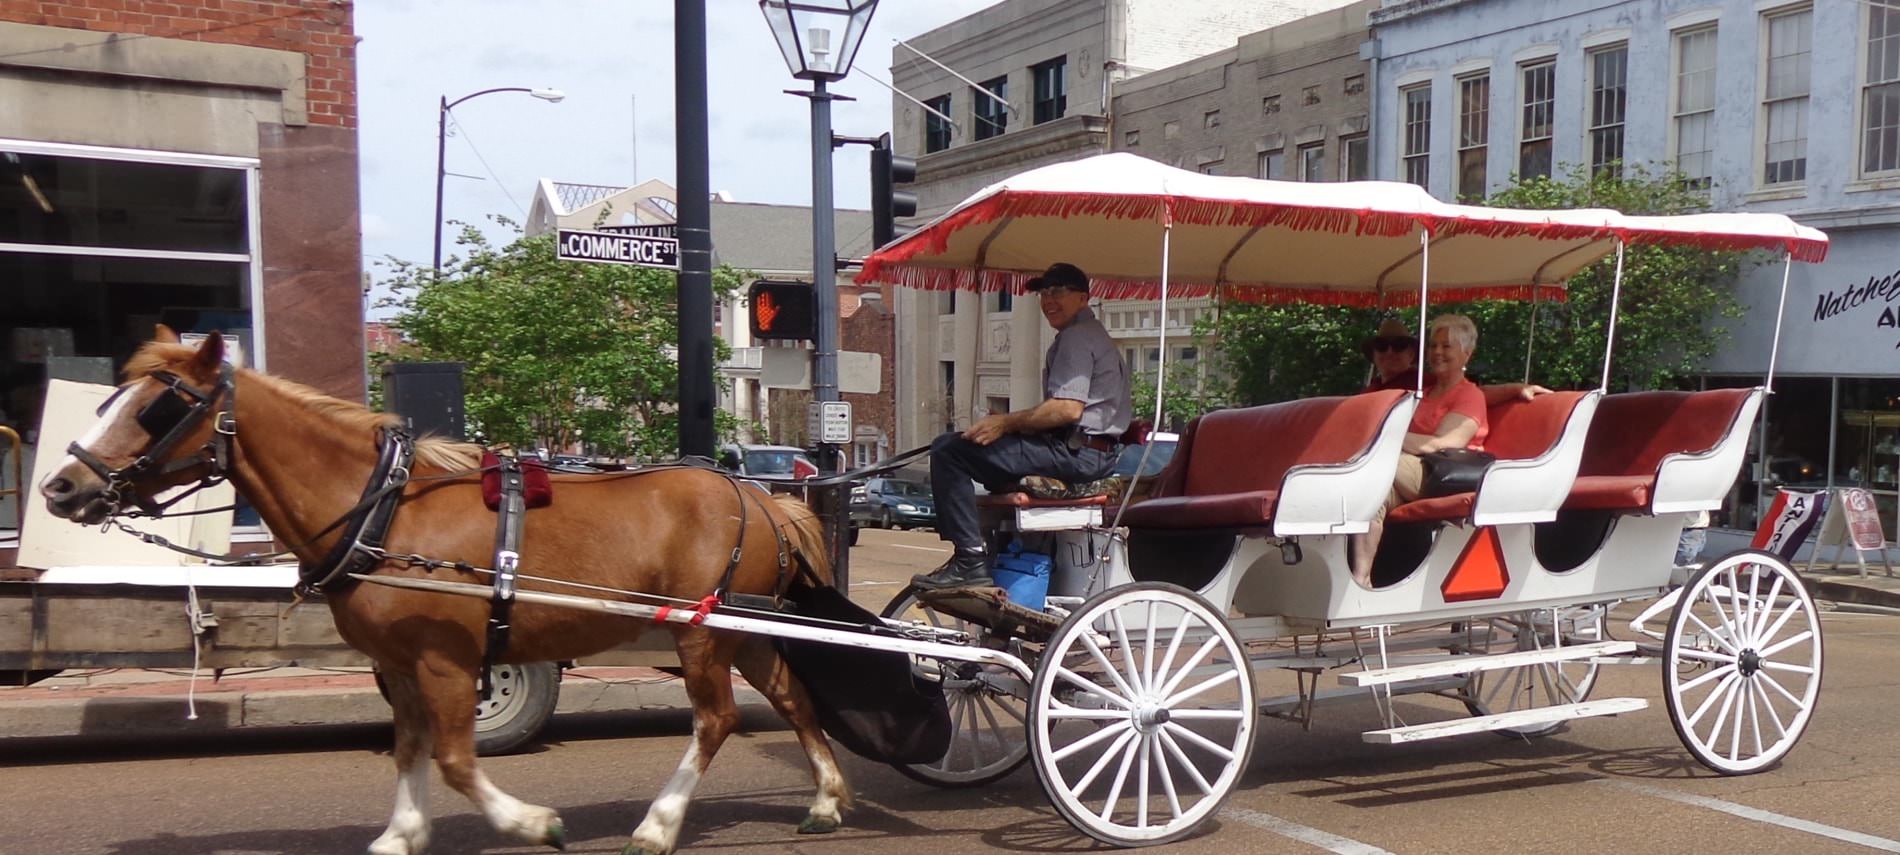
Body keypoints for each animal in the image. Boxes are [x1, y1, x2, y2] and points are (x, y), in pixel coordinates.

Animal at [35, 326, 855, 855]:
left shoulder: (447, 658)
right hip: (743, 628)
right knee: (792, 698)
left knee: (716, 719)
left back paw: (658, 824)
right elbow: (409, 746)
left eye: (157, 407)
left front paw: (532, 823)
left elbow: (458, 760)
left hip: (701, 630)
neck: (383, 509)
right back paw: (824, 798)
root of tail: (762, 497)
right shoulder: (397, 663)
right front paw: (401, 833)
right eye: (109, 400)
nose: (60, 486)